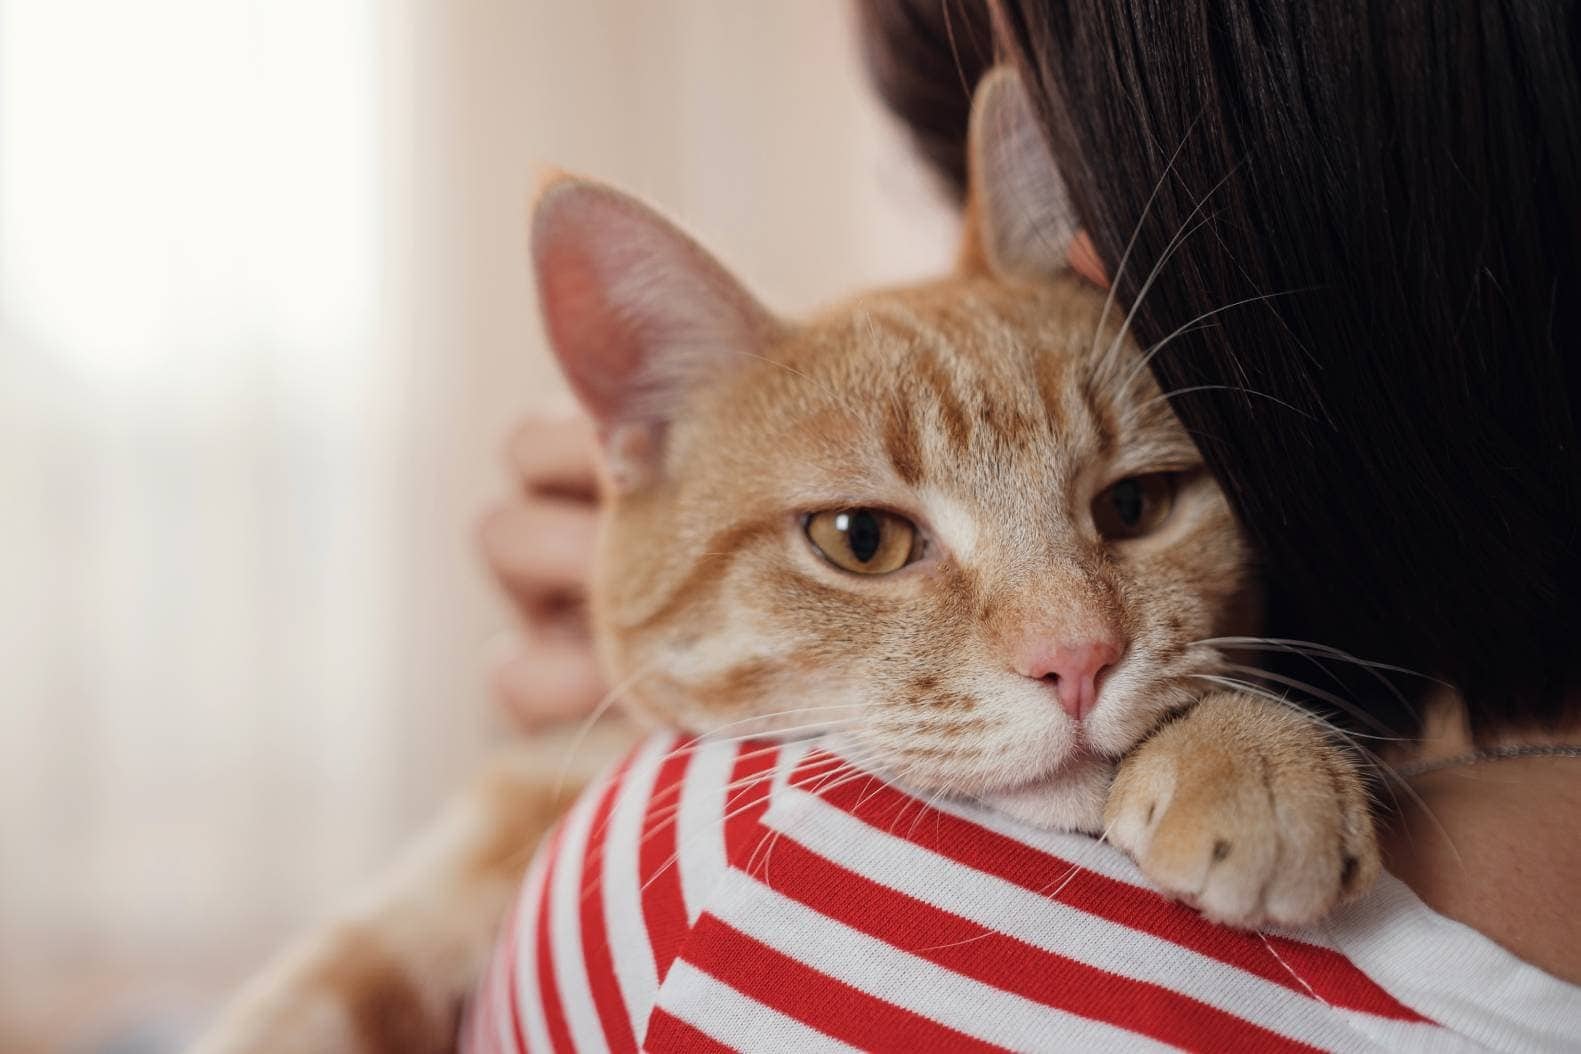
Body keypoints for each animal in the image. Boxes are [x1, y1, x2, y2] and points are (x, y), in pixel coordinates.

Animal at [197, 67, 1378, 1054]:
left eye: (1133, 505)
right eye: (862, 540)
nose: (1077, 658)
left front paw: (1254, 752)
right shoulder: (516, 797)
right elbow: (333, 977)